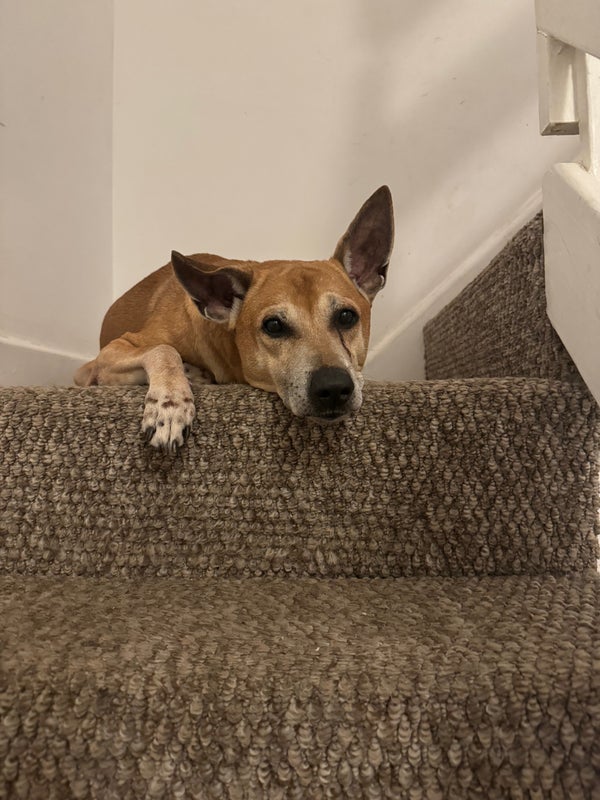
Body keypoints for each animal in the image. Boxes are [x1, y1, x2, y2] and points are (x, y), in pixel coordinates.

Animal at [75, 186, 394, 451]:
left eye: (346, 316)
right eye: (273, 325)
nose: (334, 388)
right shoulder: (100, 362)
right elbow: (163, 350)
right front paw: (170, 404)